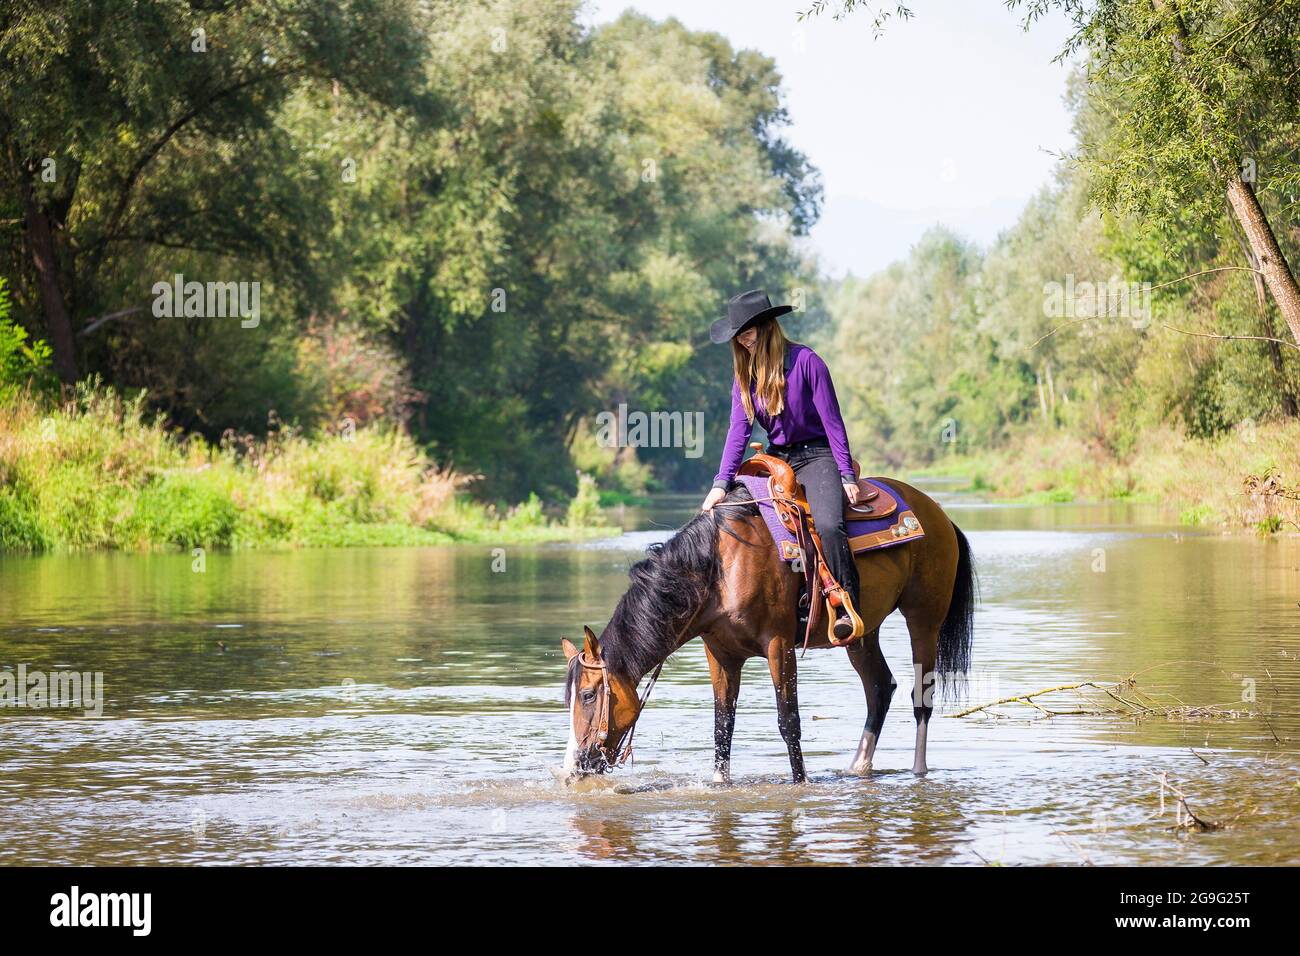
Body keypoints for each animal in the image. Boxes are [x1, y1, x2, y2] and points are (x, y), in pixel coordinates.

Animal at [561, 478, 975, 784]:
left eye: (587, 695)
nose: (574, 767)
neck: (722, 569)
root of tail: (937, 514)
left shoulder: (779, 645)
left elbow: (788, 720)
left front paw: (801, 782)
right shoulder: (720, 654)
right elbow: (722, 724)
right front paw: (720, 783)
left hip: (924, 618)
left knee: (921, 695)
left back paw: (918, 770)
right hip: (861, 632)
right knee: (879, 687)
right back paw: (858, 766)